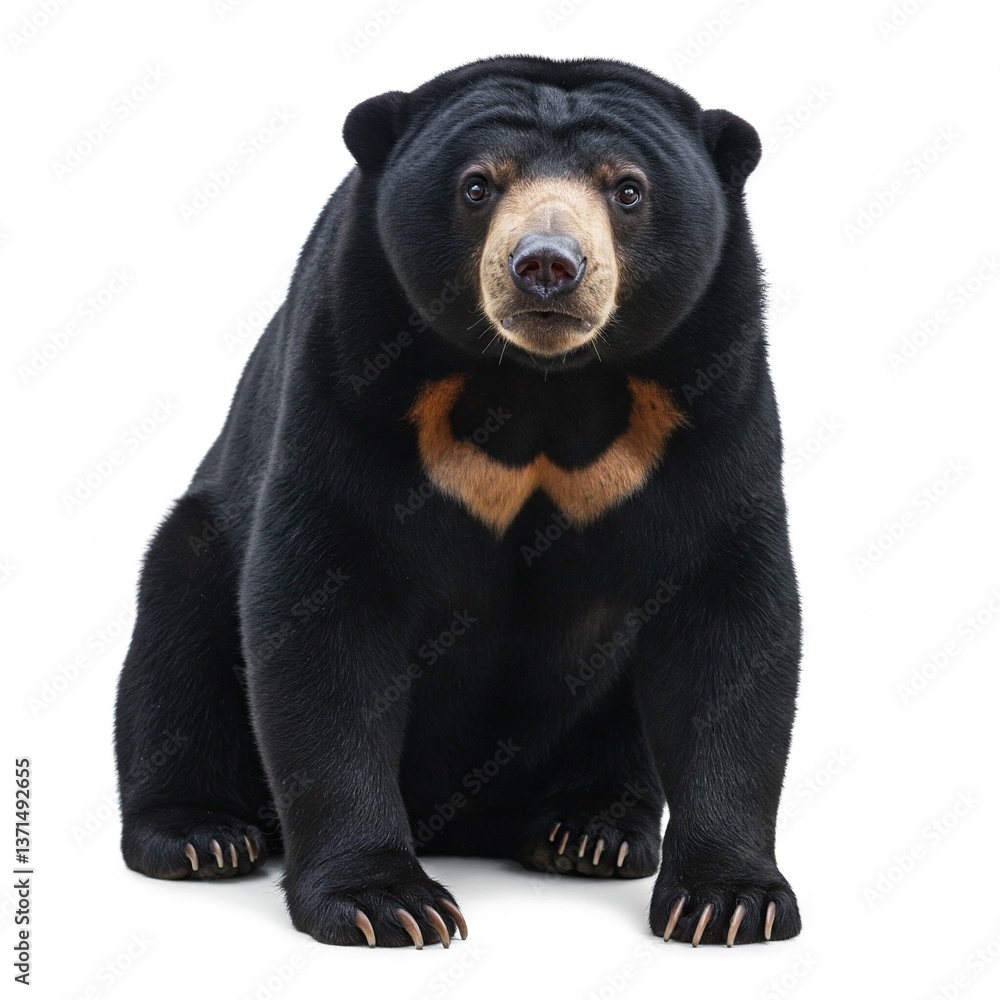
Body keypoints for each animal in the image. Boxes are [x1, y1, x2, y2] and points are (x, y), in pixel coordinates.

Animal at [114, 55, 802, 949]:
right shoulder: (354, 367)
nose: (547, 265)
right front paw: (387, 903)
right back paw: (201, 834)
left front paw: (731, 902)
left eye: (627, 189)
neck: (540, 380)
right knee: (177, 628)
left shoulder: (710, 383)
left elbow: (726, 611)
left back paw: (592, 829)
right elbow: (326, 610)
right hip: (197, 549)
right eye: (478, 185)